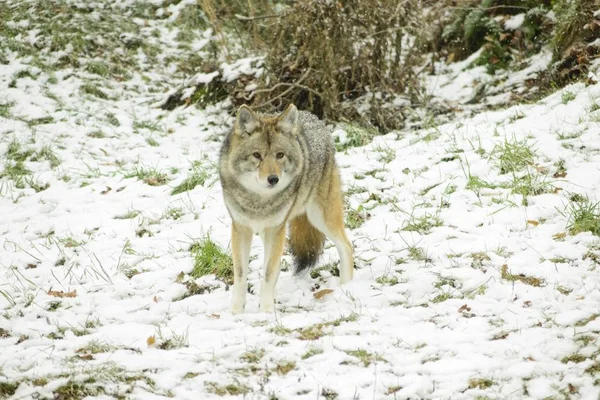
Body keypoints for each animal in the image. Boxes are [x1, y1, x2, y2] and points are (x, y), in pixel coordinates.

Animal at [218, 102, 354, 312]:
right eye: (257, 155)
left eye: (279, 155)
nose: (273, 179)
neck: (259, 201)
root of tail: (314, 118)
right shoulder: (241, 229)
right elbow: (240, 275)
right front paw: (236, 312)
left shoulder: (276, 230)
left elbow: (268, 274)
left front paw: (266, 312)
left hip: (320, 217)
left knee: (347, 247)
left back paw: (346, 288)